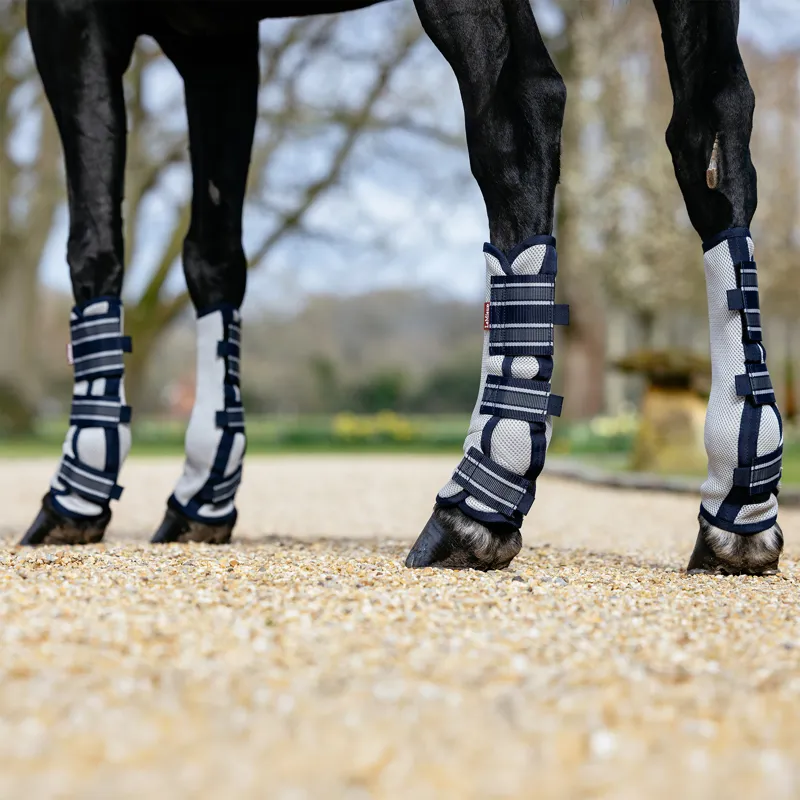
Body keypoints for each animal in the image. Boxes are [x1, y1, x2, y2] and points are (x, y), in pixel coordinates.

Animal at [20, 0, 785, 576]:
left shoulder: (74, 13)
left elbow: (93, 244)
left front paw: (76, 495)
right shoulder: (216, 36)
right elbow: (213, 255)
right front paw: (204, 491)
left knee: (521, 106)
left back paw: (477, 499)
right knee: (712, 131)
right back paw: (741, 495)